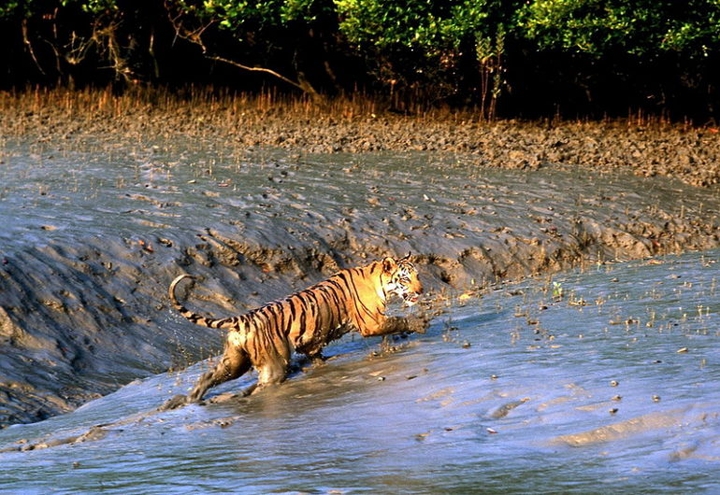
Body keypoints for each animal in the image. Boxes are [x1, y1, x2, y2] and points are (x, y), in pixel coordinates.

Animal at [161, 254, 428, 409]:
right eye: (406, 278)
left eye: (418, 275)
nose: (422, 290)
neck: (379, 281)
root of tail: (243, 318)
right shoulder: (371, 322)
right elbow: (397, 321)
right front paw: (419, 324)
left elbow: (316, 354)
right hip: (274, 364)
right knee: (262, 386)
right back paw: (236, 396)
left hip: (235, 361)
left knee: (209, 376)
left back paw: (190, 400)